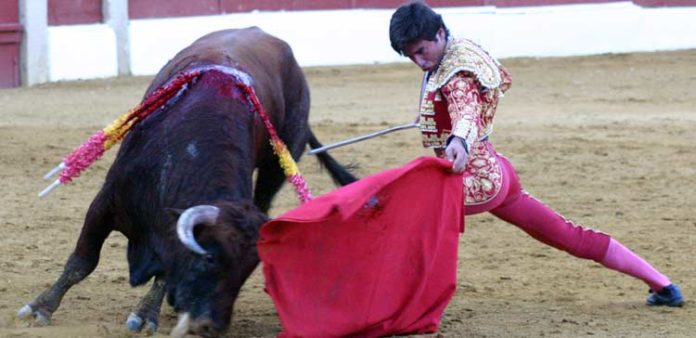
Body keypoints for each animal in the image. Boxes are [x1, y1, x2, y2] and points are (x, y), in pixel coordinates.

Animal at [19, 27, 356, 336]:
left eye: (248, 271)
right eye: (209, 260)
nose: (211, 325)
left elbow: (165, 272)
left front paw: (146, 315)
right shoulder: (106, 203)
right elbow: (82, 261)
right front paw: (40, 308)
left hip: (277, 162)